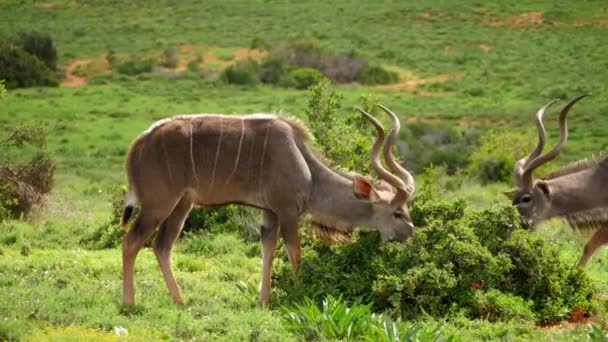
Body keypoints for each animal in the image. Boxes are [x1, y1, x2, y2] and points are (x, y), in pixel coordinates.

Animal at [120, 105, 414, 306]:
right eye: (397, 212)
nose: (410, 233)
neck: (306, 169)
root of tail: (138, 146)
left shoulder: (269, 213)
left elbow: (267, 251)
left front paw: (264, 301)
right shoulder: (287, 211)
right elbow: (295, 253)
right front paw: (298, 293)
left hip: (183, 204)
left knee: (162, 246)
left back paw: (180, 301)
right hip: (159, 204)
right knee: (131, 242)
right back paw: (129, 303)